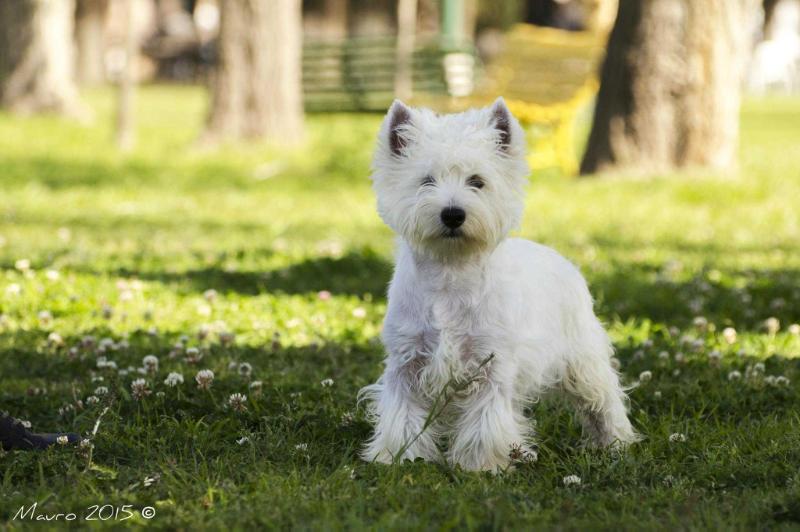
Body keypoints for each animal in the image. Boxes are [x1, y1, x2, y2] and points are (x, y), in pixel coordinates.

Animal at [360, 97, 636, 472]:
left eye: (477, 181)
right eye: (426, 181)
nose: (452, 214)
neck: (449, 274)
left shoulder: (490, 363)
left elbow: (485, 419)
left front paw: (483, 464)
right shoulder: (407, 360)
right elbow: (401, 413)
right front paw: (399, 456)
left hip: (582, 358)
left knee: (603, 399)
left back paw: (615, 444)